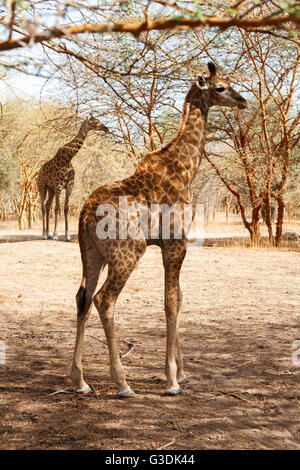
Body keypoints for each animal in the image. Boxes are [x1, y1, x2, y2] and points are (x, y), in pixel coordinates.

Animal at [70, 62, 248, 396]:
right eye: (220, 87)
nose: (243, 101)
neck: (185, 170)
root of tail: (85, 213)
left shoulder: (169, 245)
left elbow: (178, 297)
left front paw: (182, 373)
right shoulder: (176, 242)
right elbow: (171, 301)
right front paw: (172, 381)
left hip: (91, 253)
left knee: (82, 297)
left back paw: (80, 380)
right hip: (129, 251)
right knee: (104, 299)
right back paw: (122, 383)